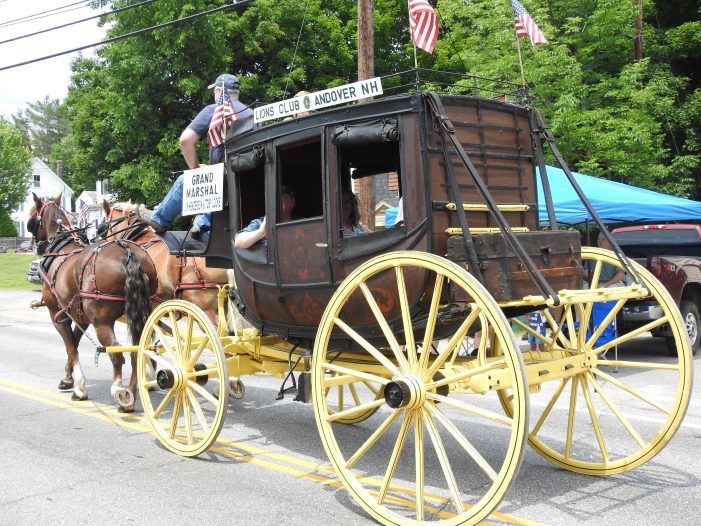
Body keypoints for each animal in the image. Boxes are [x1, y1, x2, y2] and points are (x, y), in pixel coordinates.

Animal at [27, 194, 157, 412]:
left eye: (31, 222)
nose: (35, 245)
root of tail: (127, 252)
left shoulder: (58, 315)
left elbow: (70, 347)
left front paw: (79, 388)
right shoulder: (81, 317)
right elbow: (75, 342)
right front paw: (67, 379)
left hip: (102, 322)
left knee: (116, 353)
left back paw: (119, 391)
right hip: (143, 314)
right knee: (136, 352)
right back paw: (131, 395)